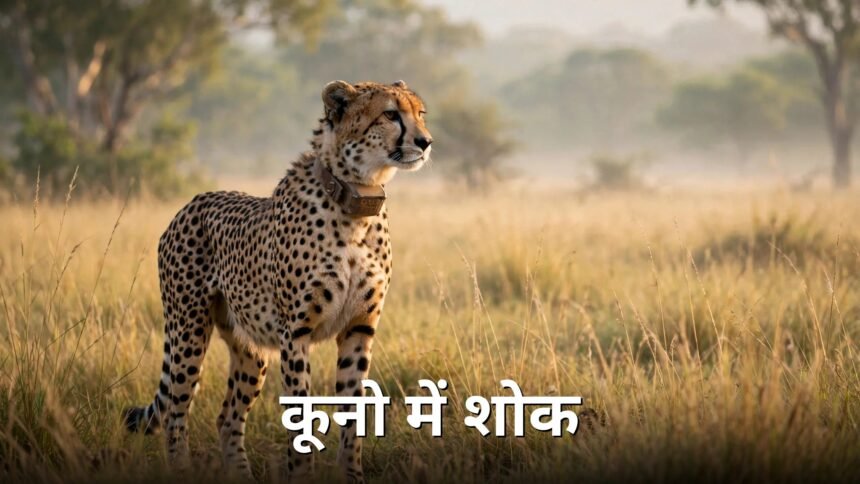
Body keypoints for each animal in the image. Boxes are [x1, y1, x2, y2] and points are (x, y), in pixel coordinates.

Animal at [123, 79, 432, 483]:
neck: (356, 202)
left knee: (227, 417)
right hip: (187, 330)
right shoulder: (295, 332)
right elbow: (300, 416)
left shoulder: (359, 328)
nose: (426, 141)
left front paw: (352, 474)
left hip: (250, 348)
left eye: (420, 113)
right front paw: (302, 475)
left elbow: (352, 414)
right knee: (176, 411)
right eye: (391, 114)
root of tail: (192, 202)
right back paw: (182, 470)